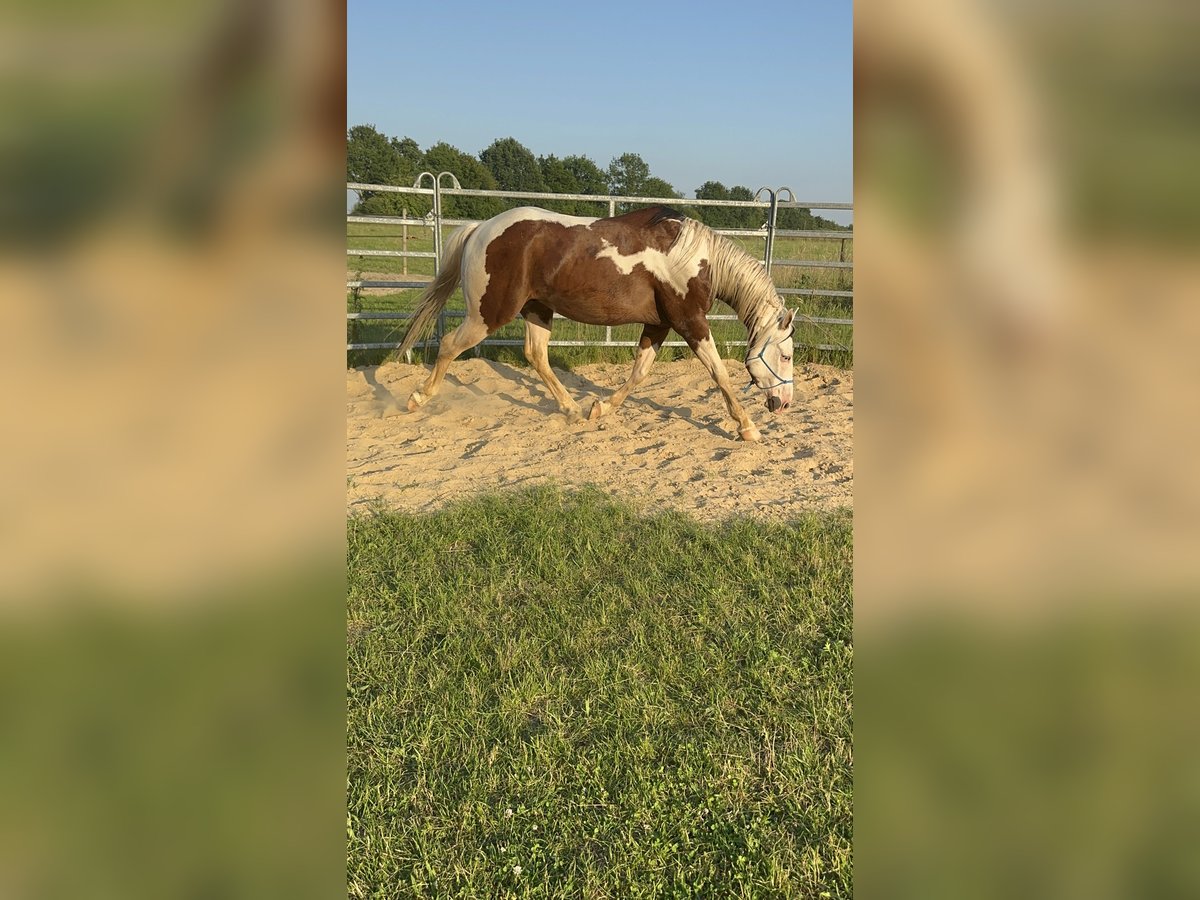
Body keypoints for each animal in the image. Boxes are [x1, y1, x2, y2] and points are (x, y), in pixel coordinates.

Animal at [398, 205, 801, 444]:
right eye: (785, 355)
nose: (783, 404)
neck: (694, 259)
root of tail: (481, 228)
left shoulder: (659, 326)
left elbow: (639, 372)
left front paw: (600, 408)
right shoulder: (690, 322)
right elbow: (719, 373)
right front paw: (747, 427)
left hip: (537, 311)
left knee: (536, 356)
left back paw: (572, 410)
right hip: (488, 315)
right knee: (450, 345)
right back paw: (417, 399)